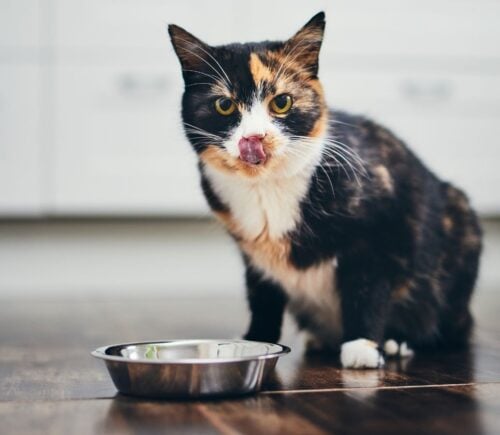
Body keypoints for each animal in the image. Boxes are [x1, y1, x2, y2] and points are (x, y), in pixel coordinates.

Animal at [170, 11, 482, 370]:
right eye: (224, 105)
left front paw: (362, 346)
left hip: (458, 225)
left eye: (282, 102)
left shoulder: (380, 227)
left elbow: (367, 286)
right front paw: (255, 340)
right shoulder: (254, 255)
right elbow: (262, 296)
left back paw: (398, 341)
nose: (254, 137)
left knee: (446, 326)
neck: (267, 188)